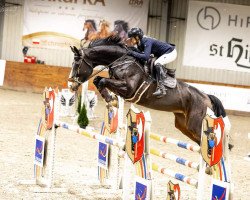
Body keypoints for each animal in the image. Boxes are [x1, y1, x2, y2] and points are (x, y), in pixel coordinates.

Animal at [68, 36, 227, 145]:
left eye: (77, 63)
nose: (71, 85)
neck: (123, 61)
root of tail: (206, 97)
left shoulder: (129, 89)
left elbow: (102, 81)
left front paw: (111, 100)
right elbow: (97, 80)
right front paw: (111, 100)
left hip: (196, 124)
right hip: (183, 125)